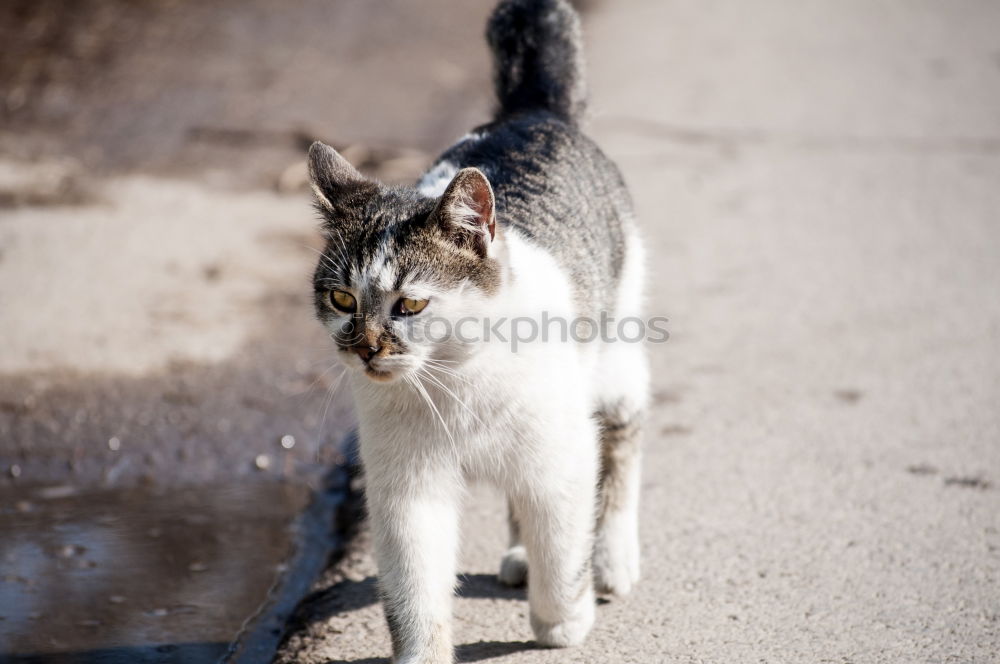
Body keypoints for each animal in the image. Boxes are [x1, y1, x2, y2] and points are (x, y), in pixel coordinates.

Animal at [306, 1, 648, 660]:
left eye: (411, 304)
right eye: (341, 298)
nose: (365, 348)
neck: (453, 380)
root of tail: (531, 111)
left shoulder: (564, 454)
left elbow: (562, 546)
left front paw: (563, 622)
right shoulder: (407, 489)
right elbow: (415, 589)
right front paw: (423, 652)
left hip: (618, 359)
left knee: (621, 446)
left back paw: (612, 559)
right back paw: (518, 555)